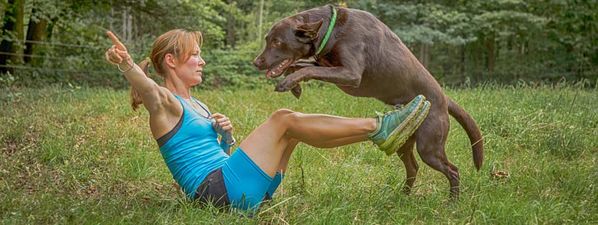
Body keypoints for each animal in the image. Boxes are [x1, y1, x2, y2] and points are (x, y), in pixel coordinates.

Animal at [255, 3, 486, 197]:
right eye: (267, 40)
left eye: (277, 42)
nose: (256, 62)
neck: (333, 30)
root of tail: (444, 100)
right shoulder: (327, 65)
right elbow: (302, 65)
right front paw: (294, 86)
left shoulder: (350, 75)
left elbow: (308, 68)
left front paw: (288, 83)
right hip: (404, 143)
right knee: (413, 167)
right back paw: (402, 197)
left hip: (429, 146)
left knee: (452, 170)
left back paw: (452, 202)